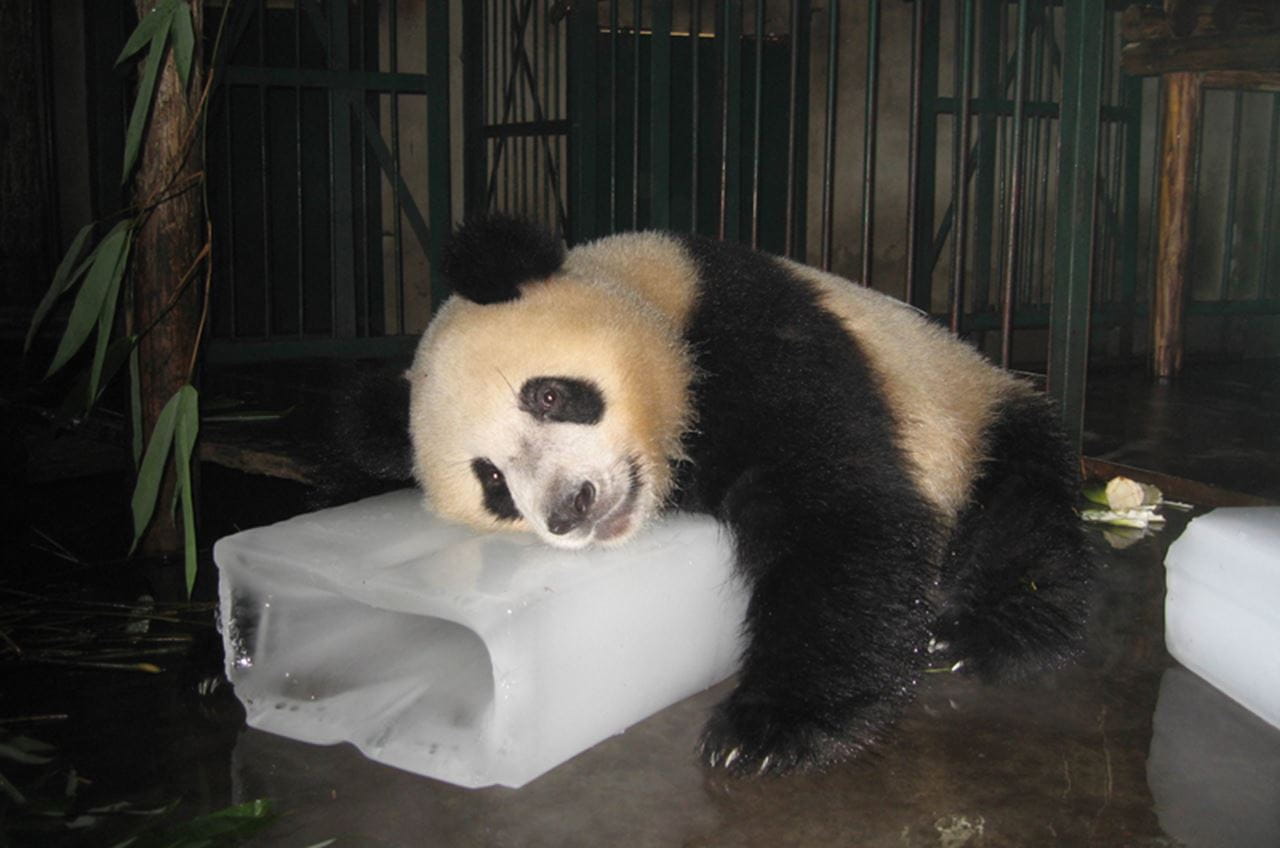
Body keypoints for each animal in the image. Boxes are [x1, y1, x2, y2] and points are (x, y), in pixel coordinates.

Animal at [407, 214, 1094, 776]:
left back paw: (986, 631)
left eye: (548, 395)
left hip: (969, 414)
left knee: (1022, 515)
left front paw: (767, 728)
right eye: (494, 483)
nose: (569, 507)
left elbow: (842, 511)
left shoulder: (760, 334)